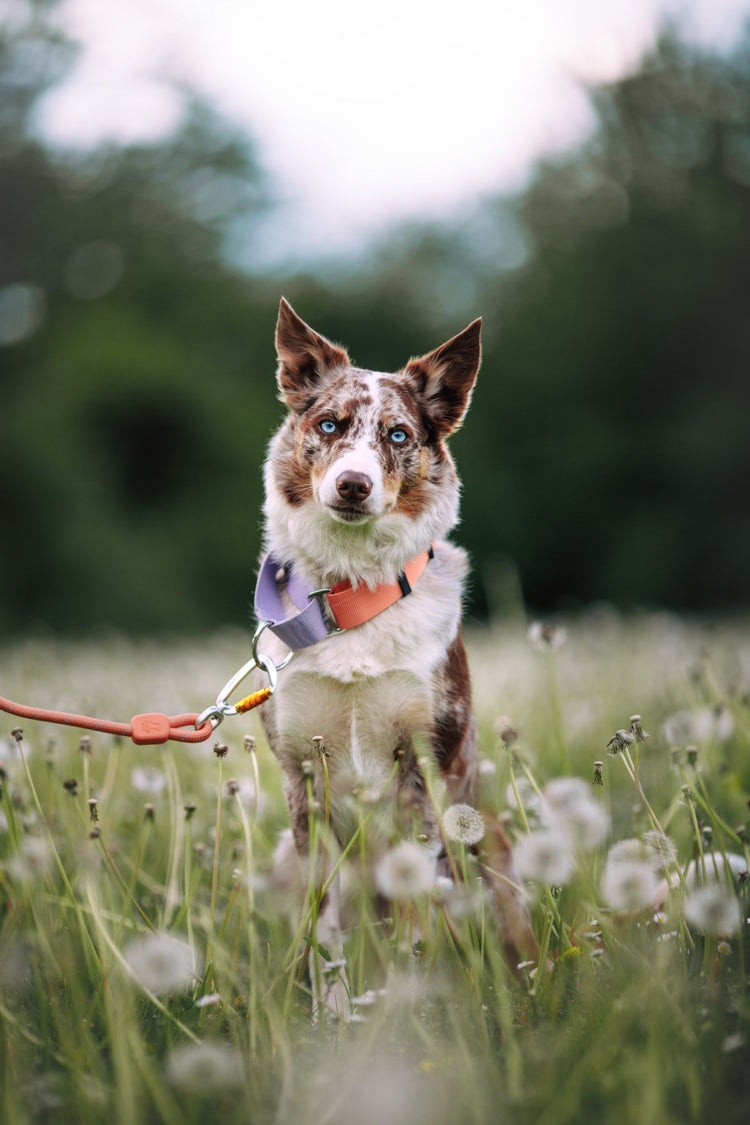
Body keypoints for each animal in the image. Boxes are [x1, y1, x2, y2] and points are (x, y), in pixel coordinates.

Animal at [255, 297, 537, 1012]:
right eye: (328, 424)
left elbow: (414, 926)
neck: (350, 596)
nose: (353, 485)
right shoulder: (305, 779)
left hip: (488, 856)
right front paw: (331, 1016)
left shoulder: (421, 769)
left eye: (400, 435)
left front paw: (413, 1011)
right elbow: (325, 927)